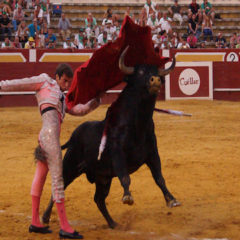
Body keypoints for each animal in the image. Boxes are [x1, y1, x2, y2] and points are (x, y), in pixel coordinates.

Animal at [42, 48, 180, 229]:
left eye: (157, 72)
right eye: (140, 72)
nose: (155, 79)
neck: (139, 123)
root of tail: (74, 136)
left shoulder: (152, 154)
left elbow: (159, 178)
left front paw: (172, 199)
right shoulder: (117, 153)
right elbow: (125, 176)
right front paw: (127, 196)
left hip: (103, 178)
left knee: (99, 199)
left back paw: (113, 223)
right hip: (70, 166)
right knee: (59, 189)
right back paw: (45, 217)